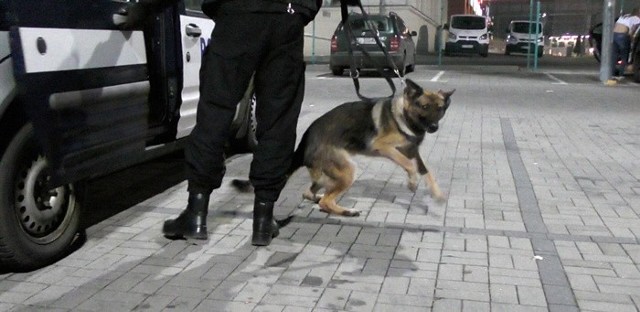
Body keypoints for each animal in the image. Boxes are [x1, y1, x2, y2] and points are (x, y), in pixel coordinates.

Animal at [235, 78, 456, 217]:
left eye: (440, 109)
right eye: (424, 107)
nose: (434, 128)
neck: (402, 116)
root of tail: (305, 139)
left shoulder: (412, 151)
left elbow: (426, 171)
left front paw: (437, 194)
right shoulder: (384, 147)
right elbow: (408, 165)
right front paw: (412, 182)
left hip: (330, 175)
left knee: (311, 193)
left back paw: (322, 199)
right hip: (348, 170)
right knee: (325, 201)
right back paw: (346, 211)